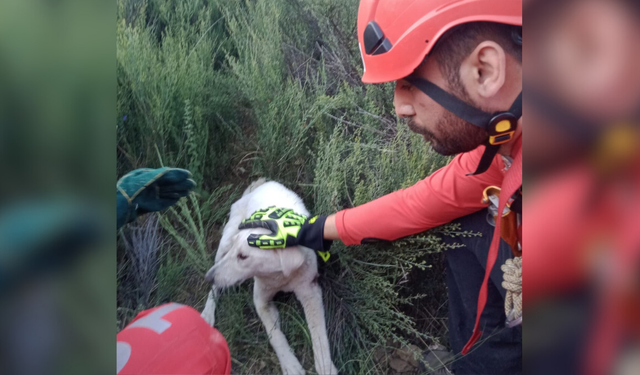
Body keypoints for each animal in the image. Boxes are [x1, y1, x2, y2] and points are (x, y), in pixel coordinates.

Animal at [202, 180, 338, 375]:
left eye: (243, 256)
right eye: (237, 252)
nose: (208, 277)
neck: (280, 275)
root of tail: (262, 184)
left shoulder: (310, 293)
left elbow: (319, 333)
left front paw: (325, 366)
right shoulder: (261, 301)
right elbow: (275, 336)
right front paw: (290, 364)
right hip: (224, 243)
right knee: (216, 287)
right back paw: (207, 313)